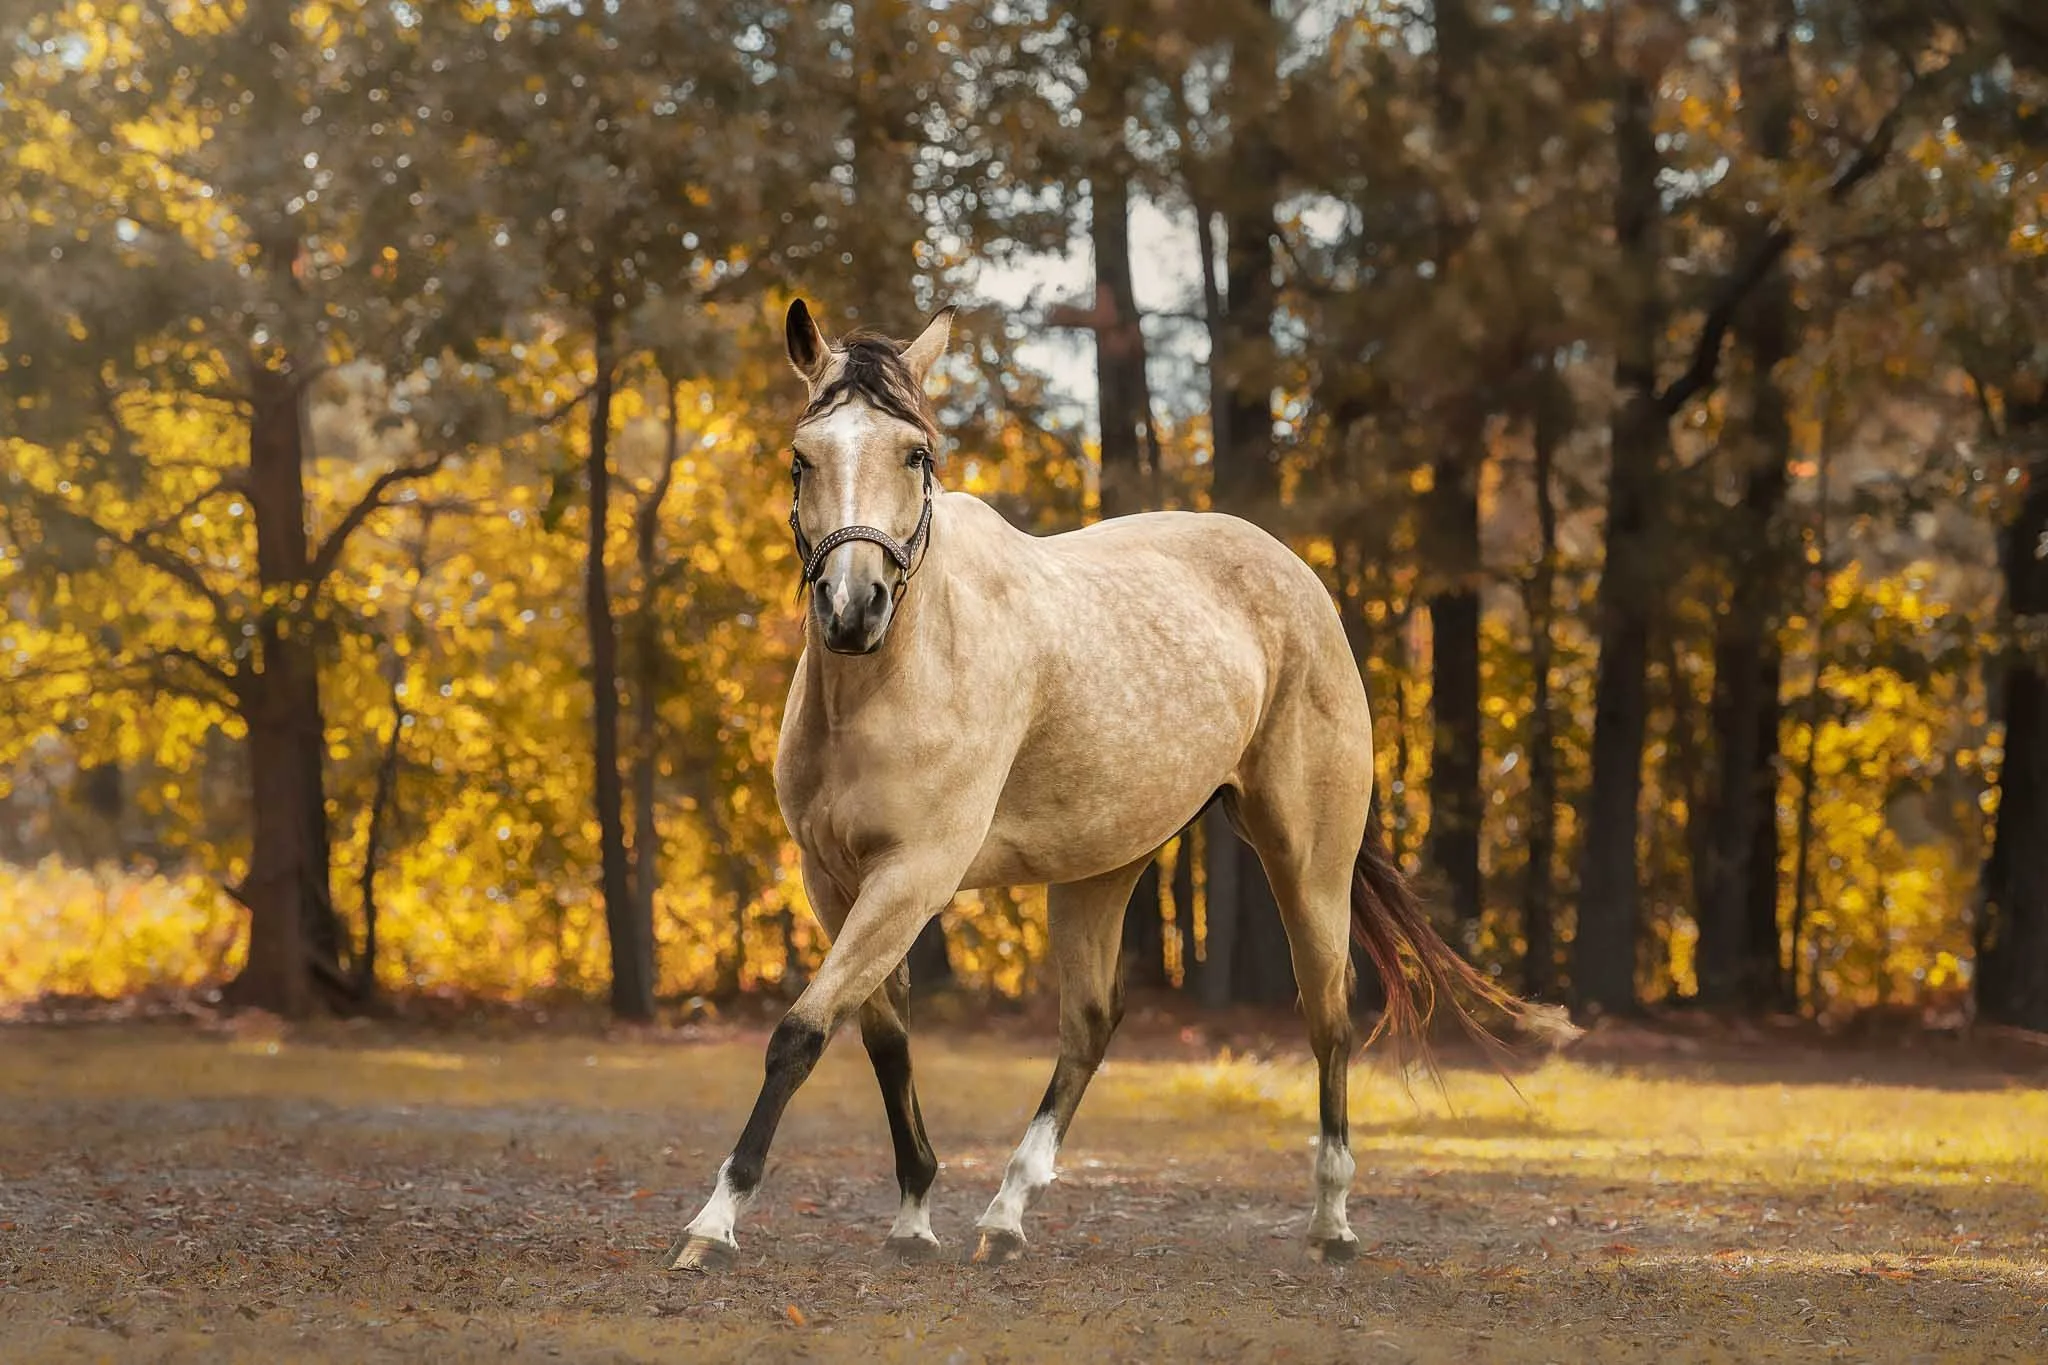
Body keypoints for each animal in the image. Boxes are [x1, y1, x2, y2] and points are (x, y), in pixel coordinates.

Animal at [666, 298, 1572, 1272]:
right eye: (804, 456)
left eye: (915, 455)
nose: (852, 605)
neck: (894, 672)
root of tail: (1299, 579)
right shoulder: (833, 880)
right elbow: (879, 1036)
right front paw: (913, 1213)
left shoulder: (914, 875)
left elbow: (801, 1033)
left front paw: (714, 1221)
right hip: (1102, 867)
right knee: (1093, 1021)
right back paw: (1006, 1212)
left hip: (1307, 859)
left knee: (1328, 1014)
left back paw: (1331, 1221)